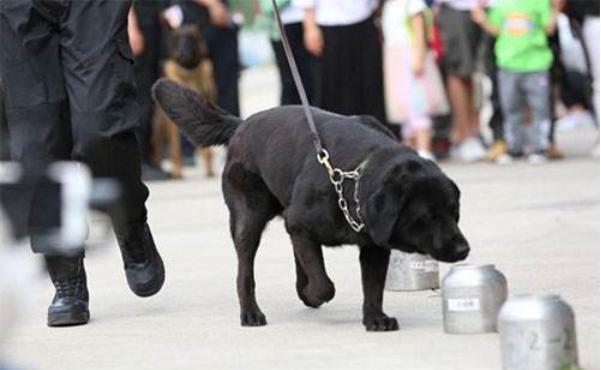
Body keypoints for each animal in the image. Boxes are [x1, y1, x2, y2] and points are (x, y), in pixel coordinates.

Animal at [151, 79, 468, 330]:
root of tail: (241, 125)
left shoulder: (373, 244)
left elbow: (373, 286)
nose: (464, 249)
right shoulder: (301, 223)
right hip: (247, 219)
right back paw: (251, 312)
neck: (355, 174)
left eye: (455, 212)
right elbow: (325, 283)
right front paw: (316, 293)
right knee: (246, 269)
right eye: (427, 217)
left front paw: (374, 318)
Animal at [152, 24, 216, 178]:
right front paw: (177, 172)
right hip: (160, 126)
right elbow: (176, 148)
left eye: (190, 38)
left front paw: (209, 169)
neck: (189, 73)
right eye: (176, 39)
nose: (183, 53)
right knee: (157, 145)